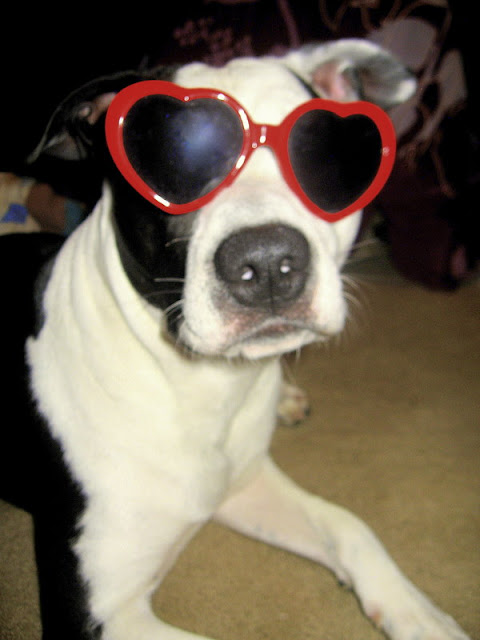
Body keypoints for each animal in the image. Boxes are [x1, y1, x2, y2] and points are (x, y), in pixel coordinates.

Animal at [0, 39, 471, 640]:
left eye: (321, 155)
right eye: (170, 159)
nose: (267, 263)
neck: (200, 387)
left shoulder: (246, 485)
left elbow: (348, 524)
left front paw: (420, 614)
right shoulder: (96, 614)